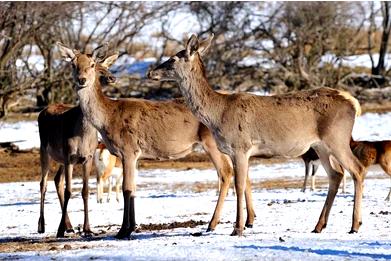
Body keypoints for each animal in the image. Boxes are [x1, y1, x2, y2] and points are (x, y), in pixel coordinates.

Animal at [37, 60, 115, 236]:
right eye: (98, 69)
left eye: (107, 67)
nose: (112, 77)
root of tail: (42, 111)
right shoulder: (69, 157)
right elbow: (69, 191)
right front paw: (59, 230)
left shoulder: (87, 158)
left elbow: (85, 191)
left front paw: (87, 229)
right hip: (44, 149)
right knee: (43, 183)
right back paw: (41, 225)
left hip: (59, 158)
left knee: (57, 180)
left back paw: (69, 225)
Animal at [56, 41, 258, 238]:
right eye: (73, 64)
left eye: (93, 65)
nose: (82, 79)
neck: (108, 118)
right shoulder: (134, 155)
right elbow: (134, 189)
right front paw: (132, 226)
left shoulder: (129, 149)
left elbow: (126, 188)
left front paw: (123, 231)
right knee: (243, 172)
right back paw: (249, 220)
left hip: (212, 141)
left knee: (226, 172)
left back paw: (213, 224)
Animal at [148, 33, 368, 236]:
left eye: (173, 59)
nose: (150, 72)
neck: (218, 113)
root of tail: (354, 104)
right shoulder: (236, 152)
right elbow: (244, 182)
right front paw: (245, 223)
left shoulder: (240, 146)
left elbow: (238, 184)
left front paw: (237, 228)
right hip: (320, 145)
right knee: (336, 174)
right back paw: (319, 226)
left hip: (337, 138)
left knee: (357, 169)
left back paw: (355, 225)